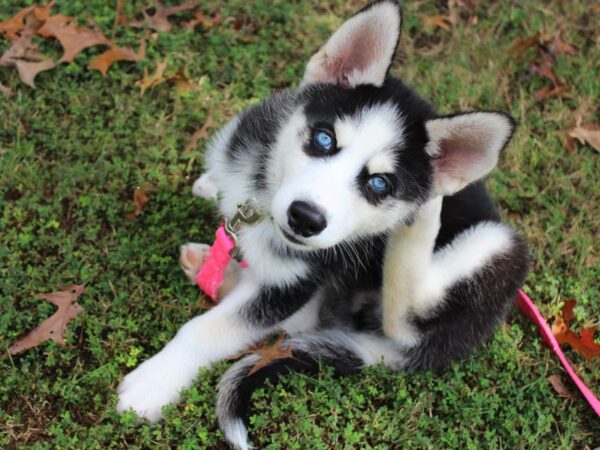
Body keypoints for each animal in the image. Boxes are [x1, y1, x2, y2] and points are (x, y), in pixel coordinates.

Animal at [117, 1, 528, 448]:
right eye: (324, 139)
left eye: (380, 183)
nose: (305, 218)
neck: (262, 208)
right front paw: (211, 187)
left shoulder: (297, 281)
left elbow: (207, 329)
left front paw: (153, 382)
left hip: (497, 245)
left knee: (402, 317)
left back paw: (421, 219)